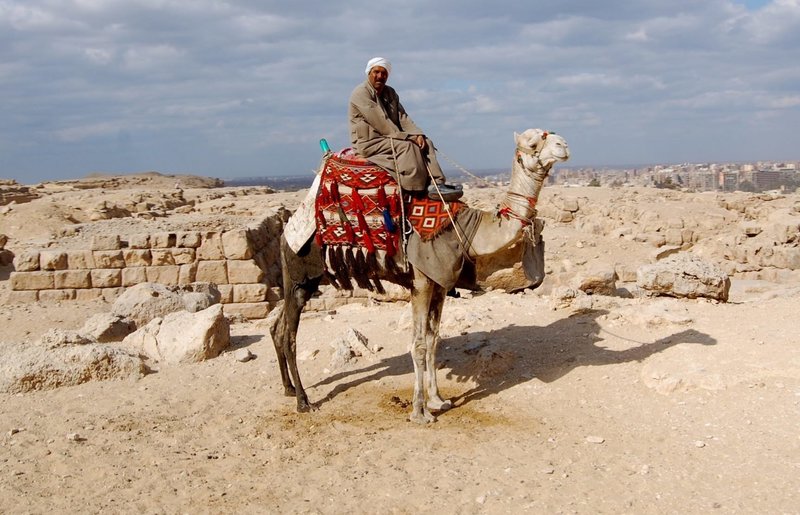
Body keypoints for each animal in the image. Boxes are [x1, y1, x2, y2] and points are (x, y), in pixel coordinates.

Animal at [272, 129, 572, 424]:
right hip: (299, 275)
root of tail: (287, 230)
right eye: (533, 143)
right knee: (290, 336)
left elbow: (433, 340)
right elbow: (417, 344)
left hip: (303, 280)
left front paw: (438, 400)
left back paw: (288, 389)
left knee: (277, 326)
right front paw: (420, 411)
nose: (564, 144)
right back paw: (303, 401)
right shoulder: (421, 283)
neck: (464, 231)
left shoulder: (440, 285)